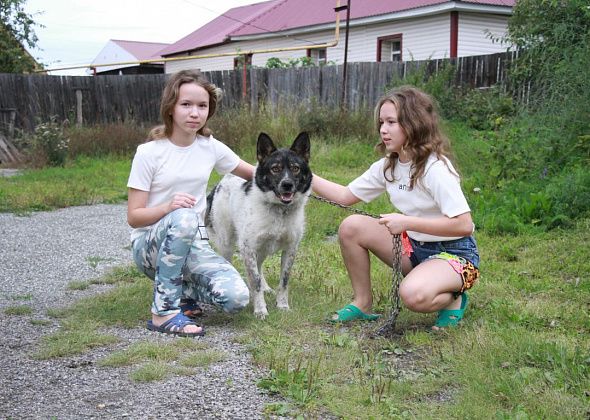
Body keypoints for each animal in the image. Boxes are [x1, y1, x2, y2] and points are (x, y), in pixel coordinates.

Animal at [205, 131, 312, 318]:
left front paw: (282, 305)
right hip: (228, 244)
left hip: (261, 248)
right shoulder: (248, 248)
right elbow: (255, 282)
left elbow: (284, 281)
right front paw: (260, 309)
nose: (287, 185)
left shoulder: (290, 249)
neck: (279, 211)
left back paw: (266, 287)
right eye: (275, 169)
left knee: (260, 267)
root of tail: (220, 183)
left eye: (295, 168)